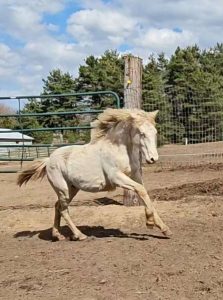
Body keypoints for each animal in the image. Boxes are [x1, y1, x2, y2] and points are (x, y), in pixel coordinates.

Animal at [17, 109, 172, 240]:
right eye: (141, 133)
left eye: (155, 132)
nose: (153, 159)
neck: (120, 150)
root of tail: (48, 160)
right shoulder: (116, 177)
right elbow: (141, 190)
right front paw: (150, 222)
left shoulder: (135, 176)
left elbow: (145, 194)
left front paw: (165, 229)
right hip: (63, 190)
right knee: (63, 210)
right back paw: (79, 235)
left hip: (72, 189)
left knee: (57, 206)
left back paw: (57, 235)